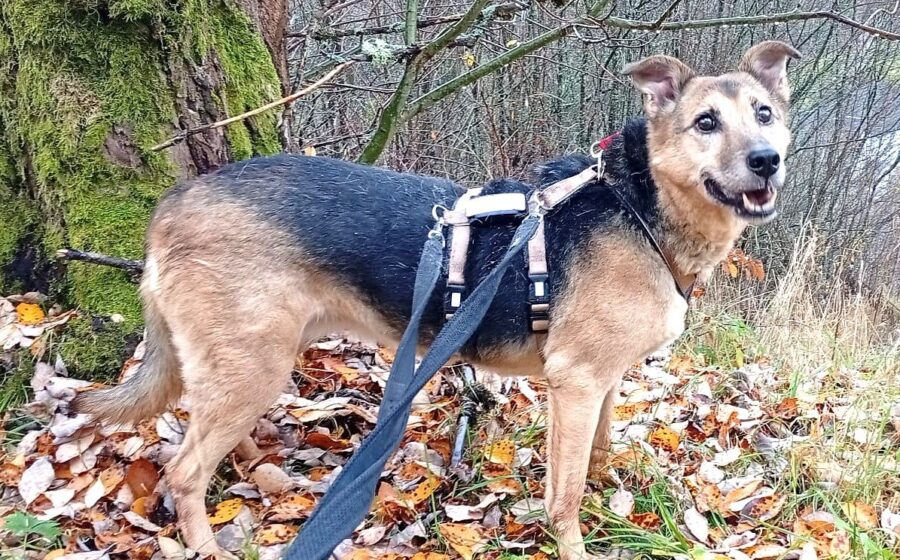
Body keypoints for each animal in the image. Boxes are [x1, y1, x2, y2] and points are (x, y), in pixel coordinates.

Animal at [73, 41, 799, 559]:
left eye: (764, 115)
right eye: (705, 123)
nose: (767, 159)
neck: (639, 202)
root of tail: (174, 202)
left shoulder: (605, 382)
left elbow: (595, 454)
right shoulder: (577, 382)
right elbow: (563, 494)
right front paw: (574, 542)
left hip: (258, 358)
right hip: (253, 365)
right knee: (183, 473)